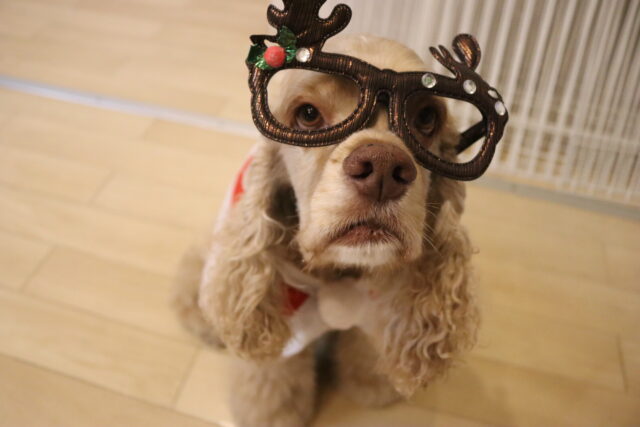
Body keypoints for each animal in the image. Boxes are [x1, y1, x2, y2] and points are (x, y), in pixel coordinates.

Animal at [172, 34, 479, 427]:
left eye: (426, 118)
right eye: (308, 114)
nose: (384, 169)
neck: (339, 273)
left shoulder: (376, 307)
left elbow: (366, 349)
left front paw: (370, 387)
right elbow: (271, 380)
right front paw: (275, 415)